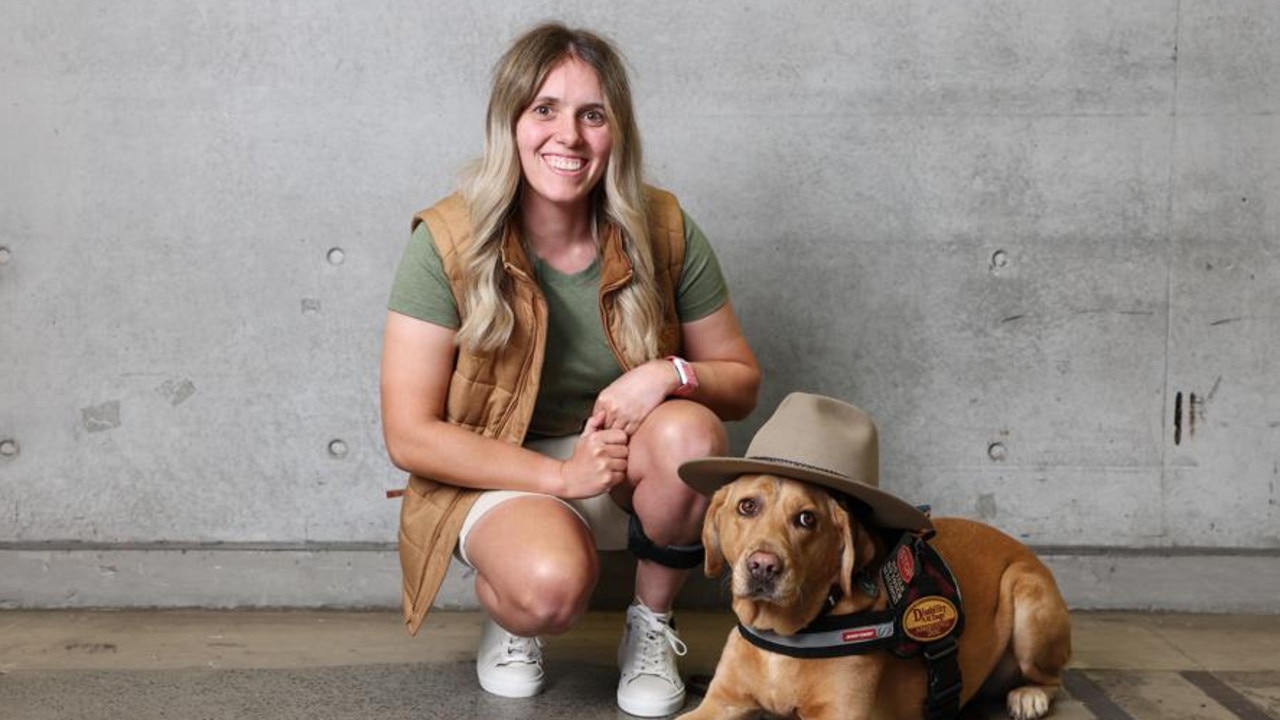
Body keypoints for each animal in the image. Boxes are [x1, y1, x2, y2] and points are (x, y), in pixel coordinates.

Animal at [680, 392, 1070, 717]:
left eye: (807, 519)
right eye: (747, 506)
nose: (763, 566)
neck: (787, 633)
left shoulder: (838, 714)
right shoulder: (719, 703)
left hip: (1027, 597)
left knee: (1053, 679)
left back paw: (1029, 695)